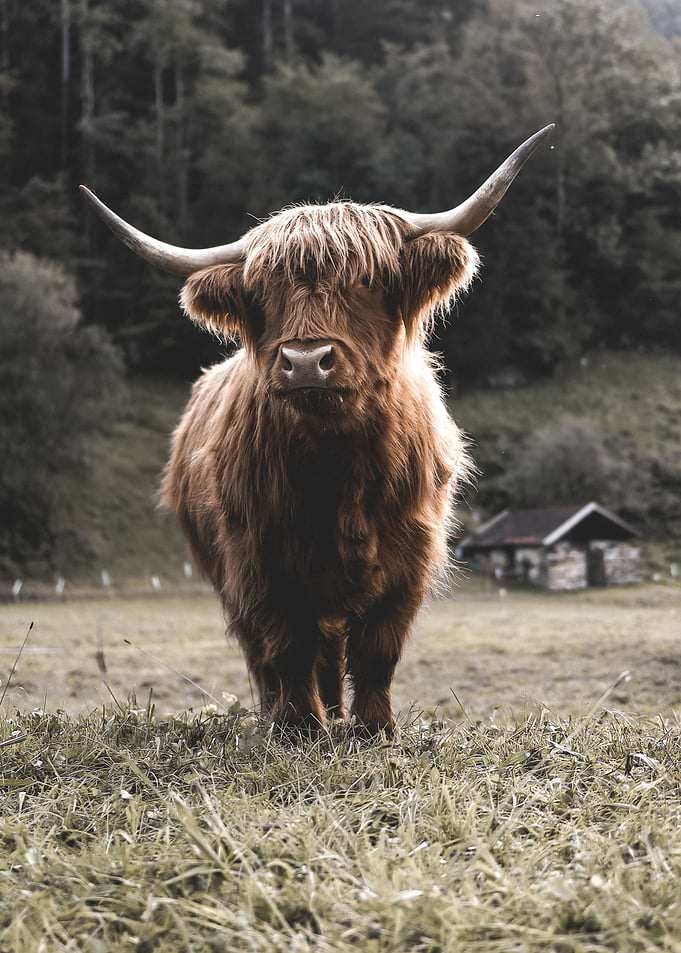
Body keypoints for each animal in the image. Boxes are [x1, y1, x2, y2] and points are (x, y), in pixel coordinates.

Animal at [81, 124, 553, 734]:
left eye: (367, 281)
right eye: (263, 295)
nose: (306, 361)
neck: (338, 464)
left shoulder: (409, 561)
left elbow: (378, 650)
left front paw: (374, 729)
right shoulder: (260, 562)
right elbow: (287, 647)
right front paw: (299, 728)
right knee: (270, 654)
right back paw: (284, 715)